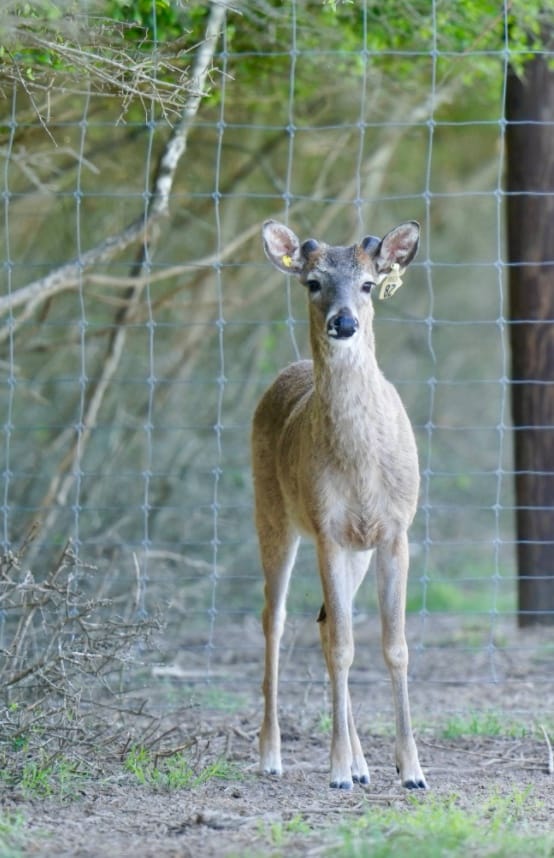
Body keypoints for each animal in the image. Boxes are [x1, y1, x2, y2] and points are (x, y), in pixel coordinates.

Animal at [252, 218, 427, 791]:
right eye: (313, 282)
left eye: (369, 284)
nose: (344, 322)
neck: (361, 467)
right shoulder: (327, 528)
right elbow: (346, 647)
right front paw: (335, 770)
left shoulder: (393, 530)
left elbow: (395, 646)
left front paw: (411, 770)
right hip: (272, 514)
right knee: (277, 618)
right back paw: (273, 755)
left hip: (356, 549)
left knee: (327, 625)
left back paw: (364, 765)